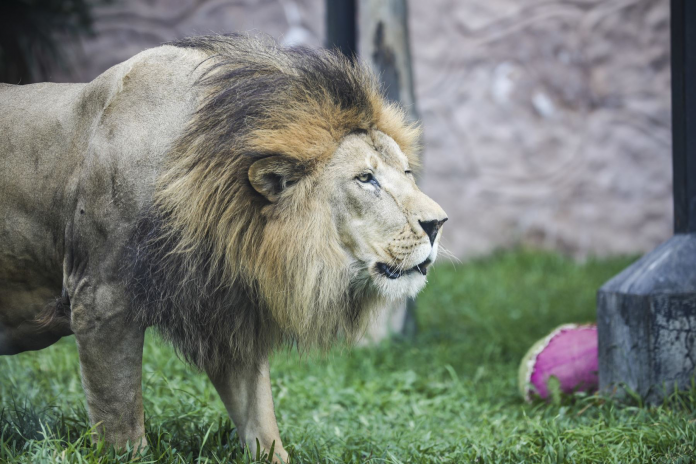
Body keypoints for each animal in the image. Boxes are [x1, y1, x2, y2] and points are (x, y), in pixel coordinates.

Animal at [0, 34, 447, 462]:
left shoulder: (227, 312)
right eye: (366, 179)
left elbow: (260, 420)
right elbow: (120, 421)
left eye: (407, 172)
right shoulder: (100, 301)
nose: (438, 224)